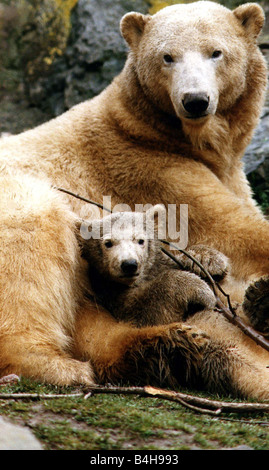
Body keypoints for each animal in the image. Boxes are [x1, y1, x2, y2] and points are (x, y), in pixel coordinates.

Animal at [0, 1, 268, 398]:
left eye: (216, 52)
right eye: (167, 57)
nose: (195, 101)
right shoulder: (152, 172)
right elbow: (238, 235)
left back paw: (170, 345)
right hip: (22, 201)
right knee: (32, 254)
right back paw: (58, 366)